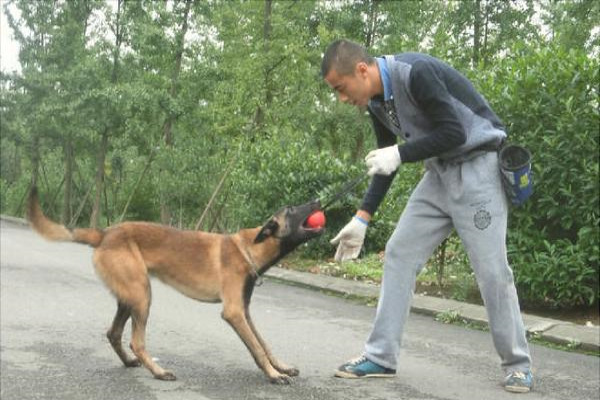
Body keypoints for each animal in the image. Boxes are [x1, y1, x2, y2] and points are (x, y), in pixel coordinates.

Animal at [25, 188, 324, 384]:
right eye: (292, 209)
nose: (319, 200)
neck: (250, 248)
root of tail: (105, 233)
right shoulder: (234, 312)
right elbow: (257, 347)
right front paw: (273, 375)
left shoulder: (245, 312)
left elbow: (263, 343)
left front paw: (280, 367)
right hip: (142, 295)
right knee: (136, 340)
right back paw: (158, 372)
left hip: (129, 297)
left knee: (113, 333)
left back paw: (130, 363)